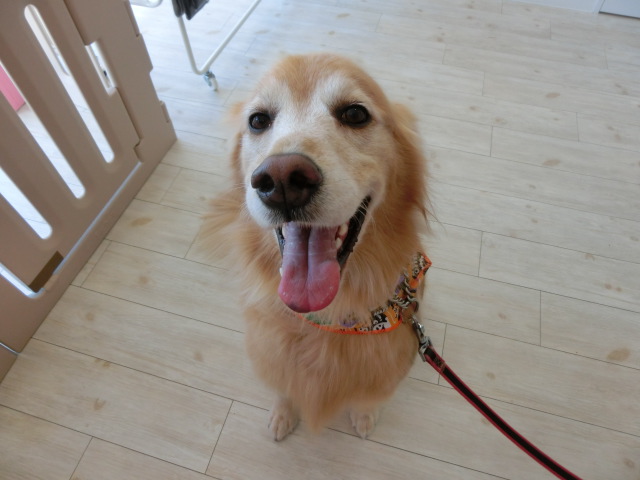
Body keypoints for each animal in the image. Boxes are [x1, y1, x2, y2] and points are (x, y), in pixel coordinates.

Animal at [202, 53, 430, 440]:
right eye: (258, 120)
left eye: (355, 114)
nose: (281, 179)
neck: (329, 317)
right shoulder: (271, 353)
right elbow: (283, 388)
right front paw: (282, 414)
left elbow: (369, 398)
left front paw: (364, 417)